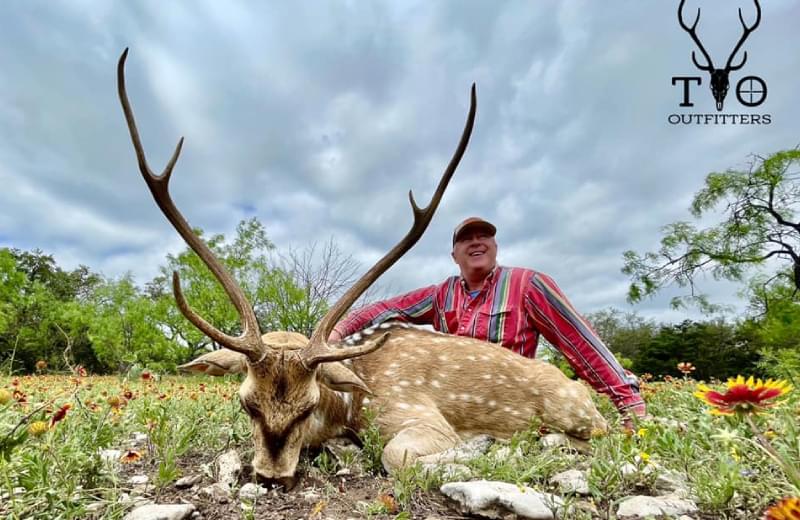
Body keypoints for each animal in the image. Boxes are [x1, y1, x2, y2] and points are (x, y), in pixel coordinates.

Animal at [117, 49, 608, 489]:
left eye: (308, 405)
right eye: (246, 404)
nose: (273, 478)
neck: (351, 405)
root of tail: (584, 392)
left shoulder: (417, 414)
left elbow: (396, 455)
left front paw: (479, 447)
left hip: (577, 413)